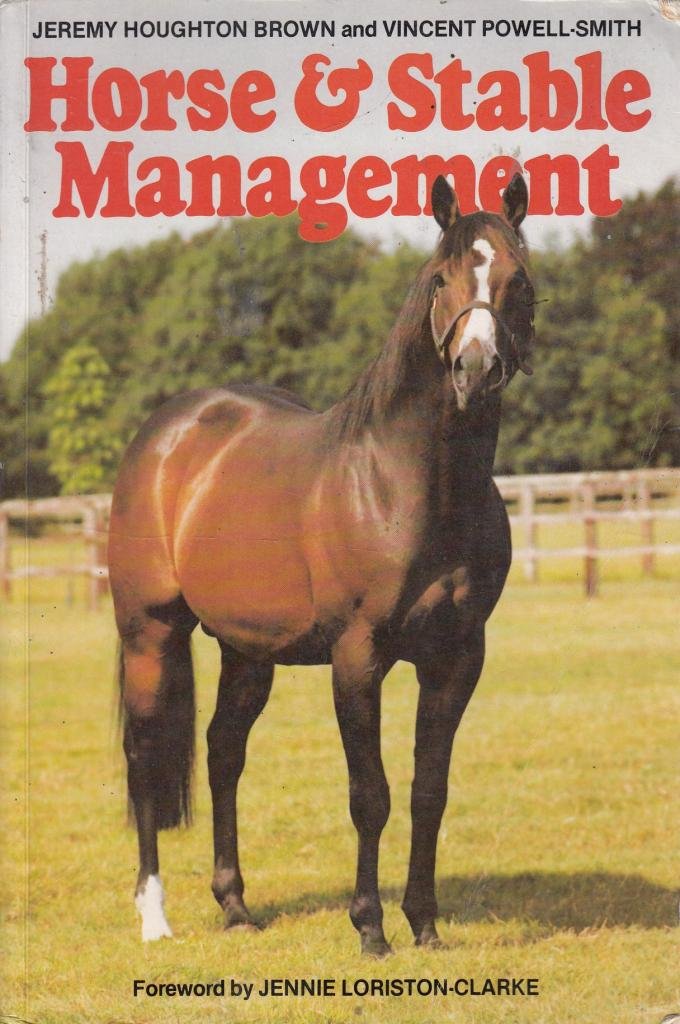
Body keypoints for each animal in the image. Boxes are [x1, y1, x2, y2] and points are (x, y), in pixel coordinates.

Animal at [108, 173, 535, 955]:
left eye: (517, 280)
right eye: (440, 278)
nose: (476, 369)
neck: (410, 486)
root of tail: (165, 434)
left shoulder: (458, 657)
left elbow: (430, 791)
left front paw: (425, 924)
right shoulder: (358, 656)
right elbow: (371, 795)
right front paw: (371, 928)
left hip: (247, 652)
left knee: (222, 751)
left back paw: (235, 905)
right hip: (149, 630)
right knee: (145, 753)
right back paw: (155, 915)